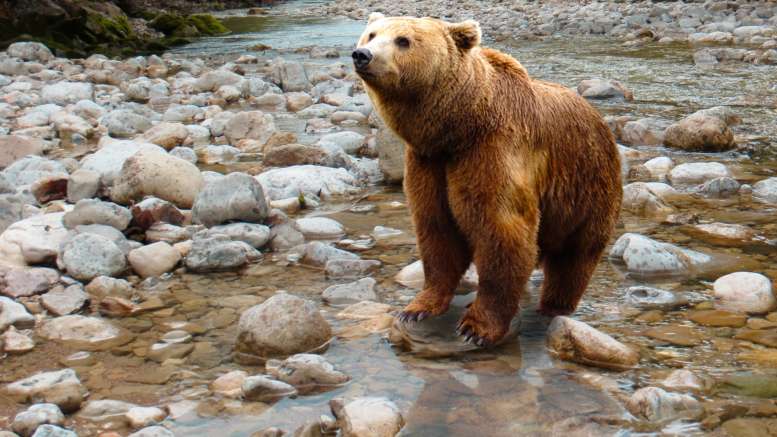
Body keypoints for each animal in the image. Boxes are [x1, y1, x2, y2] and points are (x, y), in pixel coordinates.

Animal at [354, 13, 620, 346]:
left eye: (403, 40)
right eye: (371, 34)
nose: (362, 55)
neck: (457, 128)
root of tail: (600, 119)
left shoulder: (492, 151)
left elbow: (501, 230)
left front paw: (476, 327)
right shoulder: (429, 163)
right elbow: (436, 230)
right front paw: (417, 308)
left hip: (587, 187)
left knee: (574, 258)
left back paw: (553, 306)